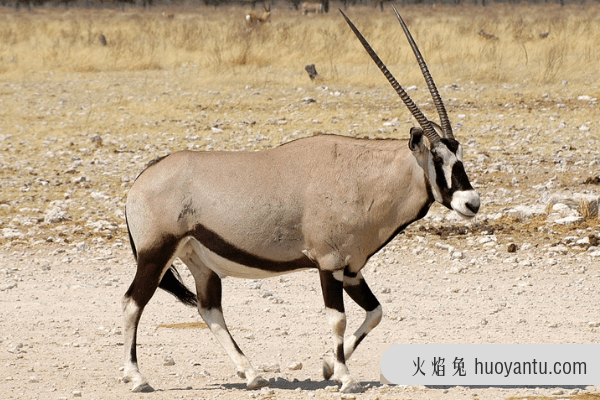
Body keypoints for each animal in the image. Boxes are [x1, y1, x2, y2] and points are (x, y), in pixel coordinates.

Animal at [123, 5, 482, 394]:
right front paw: (345, 377)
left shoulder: (352, 269)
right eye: (437, 158)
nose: (471, 203)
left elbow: (375, 312)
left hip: (199, 260)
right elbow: (338, 319)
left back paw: (251, 374)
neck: (361, 176)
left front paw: (327, 366)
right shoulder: (329, 264)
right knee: (133, 303)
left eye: (460, 155)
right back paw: (137, 377)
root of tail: (142, 179)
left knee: (209, 309)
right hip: (156, 253)